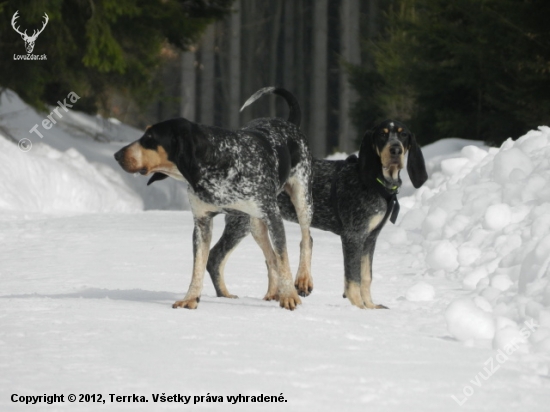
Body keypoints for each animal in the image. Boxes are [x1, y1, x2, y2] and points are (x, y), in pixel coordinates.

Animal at [115, 88, 314, 310]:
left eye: (149, 137)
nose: (117, 155)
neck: (217, 161)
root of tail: (289, 123)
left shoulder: (273, 216)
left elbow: (283, 257)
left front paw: (289, 295)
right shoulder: (202, 223)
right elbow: (198, 265)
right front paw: (190, 297)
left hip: (301, 200)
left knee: (306, 239)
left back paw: (303, 280)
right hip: (253, 224)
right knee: (269, 258)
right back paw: (273, 292)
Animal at [205, 119, 430, 308]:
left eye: (403, 135)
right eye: (382, 135)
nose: (395, 149)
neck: (377, 182)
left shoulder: (370, 238)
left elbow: (366, 276)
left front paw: (370, 306)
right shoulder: (353, 236)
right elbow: (353, 278)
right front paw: (358, 307)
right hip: (242, 221)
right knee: (215, 257)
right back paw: (225, 296)